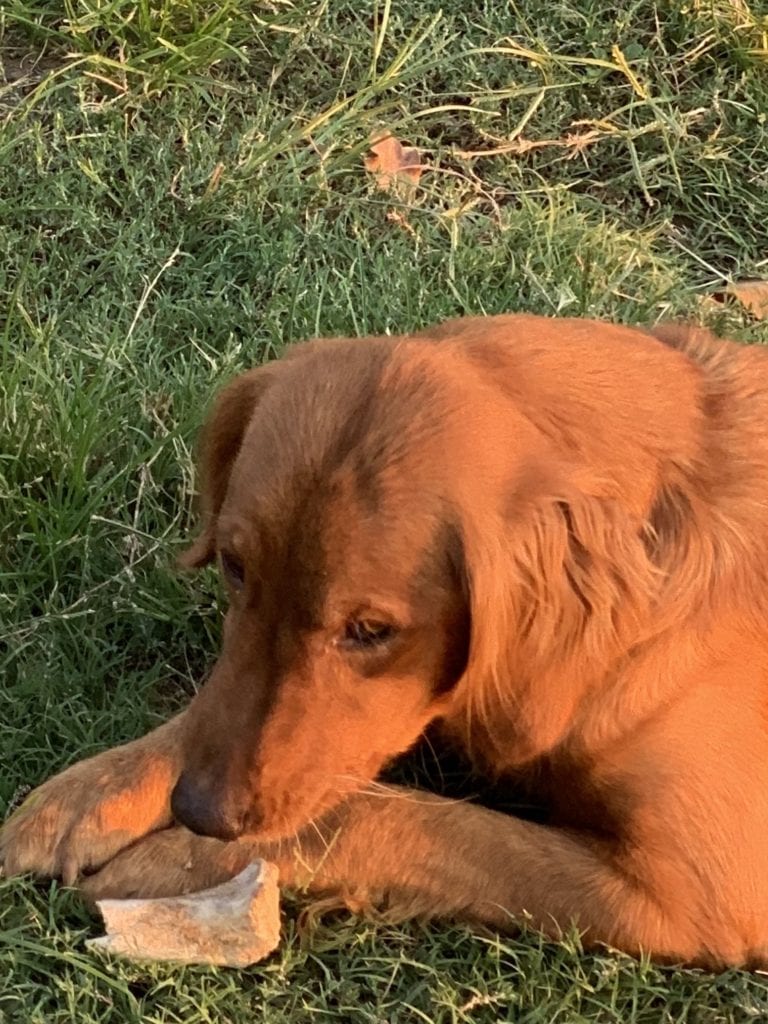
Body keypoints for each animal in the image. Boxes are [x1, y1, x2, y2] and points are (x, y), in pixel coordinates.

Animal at [1, 315, 768, 970]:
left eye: (370, 631)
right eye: (235, 567)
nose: (200, 811)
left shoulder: (697, 890)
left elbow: (385, 817)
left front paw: (179, 861)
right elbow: (213, 716)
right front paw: (94, 791)